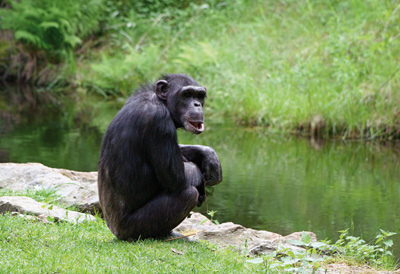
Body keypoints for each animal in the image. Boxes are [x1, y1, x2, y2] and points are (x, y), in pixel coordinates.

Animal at [97, 73, 222, 240]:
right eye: (187, 95)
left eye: (199, 96)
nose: (197, 105)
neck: (161, 102)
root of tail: (113, 229)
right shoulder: (159, 121)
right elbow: (177, 178)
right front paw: (202, 177)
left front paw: (209, 155)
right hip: (132, 228)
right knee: (188, 194)